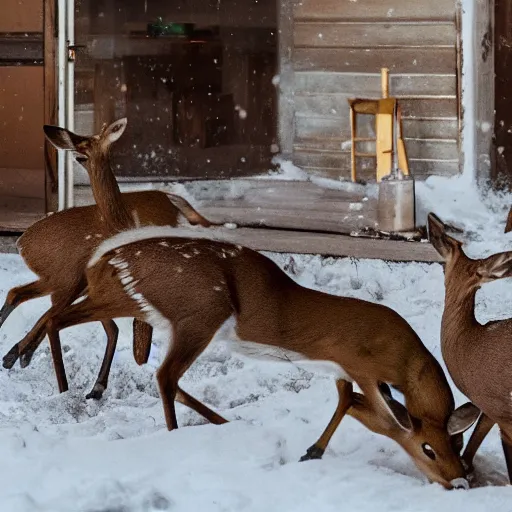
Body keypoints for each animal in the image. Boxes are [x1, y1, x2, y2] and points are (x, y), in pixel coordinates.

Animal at [0, 118, 225, 422]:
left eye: (86, 147)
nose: (75, 150)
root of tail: (22, 241)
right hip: (65, 283)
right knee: (35, 305)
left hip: (65, 284)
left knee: (31, 301)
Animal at [6, 226, 482, 490]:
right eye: (428, 449)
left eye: (456, 444)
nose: (459, 480)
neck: (404, 361)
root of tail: (105, 257)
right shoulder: (357, 363)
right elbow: (366, 408)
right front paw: (311, 452)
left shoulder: (345, 372)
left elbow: (346, 402)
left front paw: (313, 451)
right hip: (199, 312)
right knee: (164, 375)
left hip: (132, 301)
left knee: (60, 315)